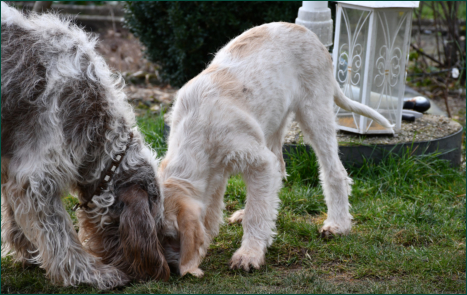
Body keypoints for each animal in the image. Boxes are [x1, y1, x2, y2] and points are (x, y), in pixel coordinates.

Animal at [1, 1, 170, 290]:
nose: (168, 267)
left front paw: (27, 250)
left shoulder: (12, 162)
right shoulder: (37, 179)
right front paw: (90, 275)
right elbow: (61, 236)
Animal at [158, 21, 394, 278]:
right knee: (278, 173)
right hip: (272, 124)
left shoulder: (258, 162)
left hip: (315, 114)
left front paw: (249, 254)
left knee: (335, 172)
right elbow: (214, 209)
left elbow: (256, 214)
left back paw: (338, 224)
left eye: (170, 235)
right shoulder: (219, 171)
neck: (197, 125)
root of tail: (306, 32)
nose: (169, 270)